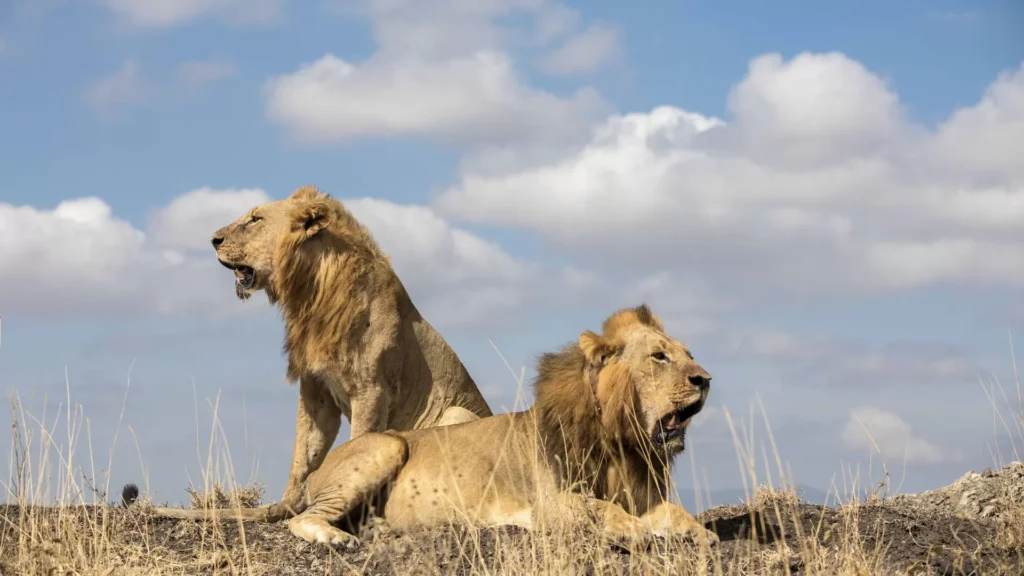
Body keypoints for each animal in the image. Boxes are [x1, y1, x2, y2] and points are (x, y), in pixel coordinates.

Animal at [145, 305, 718, 548]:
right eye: (660, 357)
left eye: (690, 353)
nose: (706, 379)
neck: (622, 439)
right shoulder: (550, 504)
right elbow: (607, 513)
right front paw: (640, 533)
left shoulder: (644, 492)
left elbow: (673, 512)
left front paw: (699, 534)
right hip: (383, 449)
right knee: (303, 519)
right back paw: (338, 538)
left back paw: (376, 528)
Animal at [208, 185, 493, 520]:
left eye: (255, 219)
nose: (212, 239)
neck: (312, 291)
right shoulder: (316, 391)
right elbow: (303, 452)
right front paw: (285, 506)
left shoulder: (371, 388)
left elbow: (360, 441)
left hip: (455, 413)